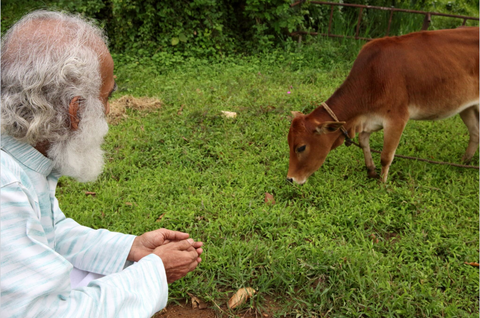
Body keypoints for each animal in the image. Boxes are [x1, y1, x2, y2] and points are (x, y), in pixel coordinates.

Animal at [286, 27, 478, 184]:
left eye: (301, 147)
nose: (290, 179)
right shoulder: (371, 119)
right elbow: (363, 141)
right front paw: (371, 171)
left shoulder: (397, 118)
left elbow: (386, 156)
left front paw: (382, 184)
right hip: (467, 107)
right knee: (475, 133)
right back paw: (465, 162)